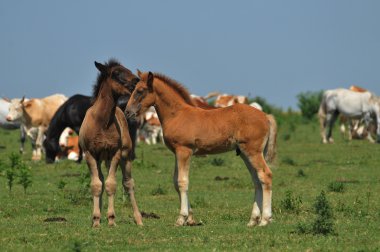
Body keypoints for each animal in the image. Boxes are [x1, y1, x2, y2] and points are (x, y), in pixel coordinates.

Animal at [78, 60, 142, 227]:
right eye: (116, 73)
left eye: (128, 69)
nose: (137, 81)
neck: (102, 122)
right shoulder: (90, 154)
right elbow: (96, 185)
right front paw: (96, 220)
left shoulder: (116, 153)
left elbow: (111, 184)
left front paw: (111, 219)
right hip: (102, 159)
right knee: (101, 180)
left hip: (125, 156)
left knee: (128, 183)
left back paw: (139, 219)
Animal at [126, 71, 278, 226]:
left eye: (140, 91)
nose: (127, 112)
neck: (177, 114)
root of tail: (266, 116)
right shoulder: (177, 153)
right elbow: (176, 182)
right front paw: (190, 218)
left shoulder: (184, 151)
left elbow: (182, 182)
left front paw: (181, 218)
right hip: (245, 153)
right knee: (257, 180)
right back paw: (253, 220)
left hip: (253, 152)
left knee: (265, 175)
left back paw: (265, 220)